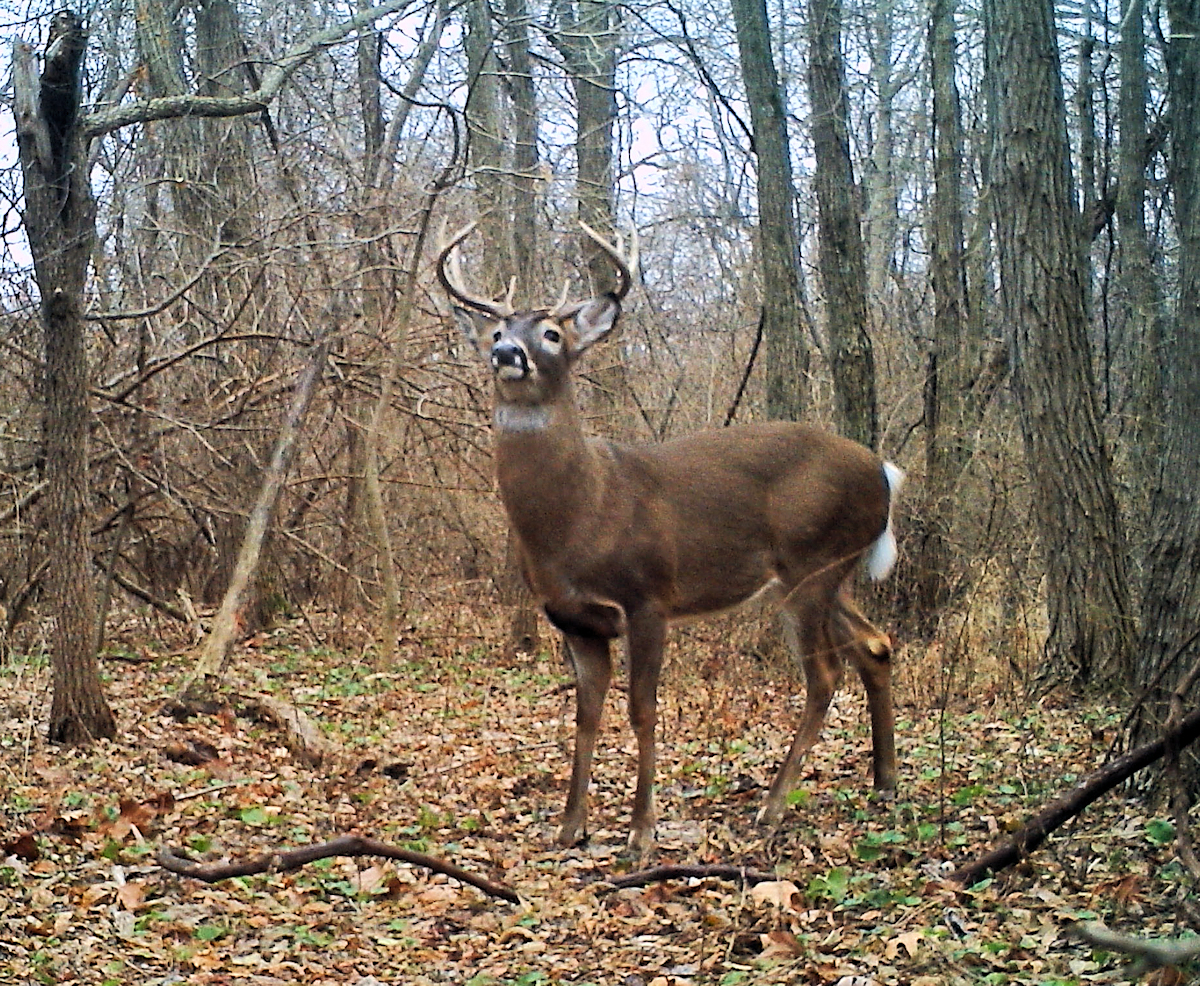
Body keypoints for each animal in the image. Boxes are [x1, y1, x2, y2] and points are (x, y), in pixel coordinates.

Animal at [437, 221, 904, 856]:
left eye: (553, 333)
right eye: (496, 329)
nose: (506, 354)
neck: (583, 512)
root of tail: (883, 470)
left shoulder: (648, 596)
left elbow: (642, 709)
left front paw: (641, 832)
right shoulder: (573, 619)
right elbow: (585, 716)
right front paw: (570, 826)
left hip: (813, 565)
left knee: (825, 676)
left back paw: (772, 806)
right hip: (827, 573)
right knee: (875, 644)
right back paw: (884, 782)